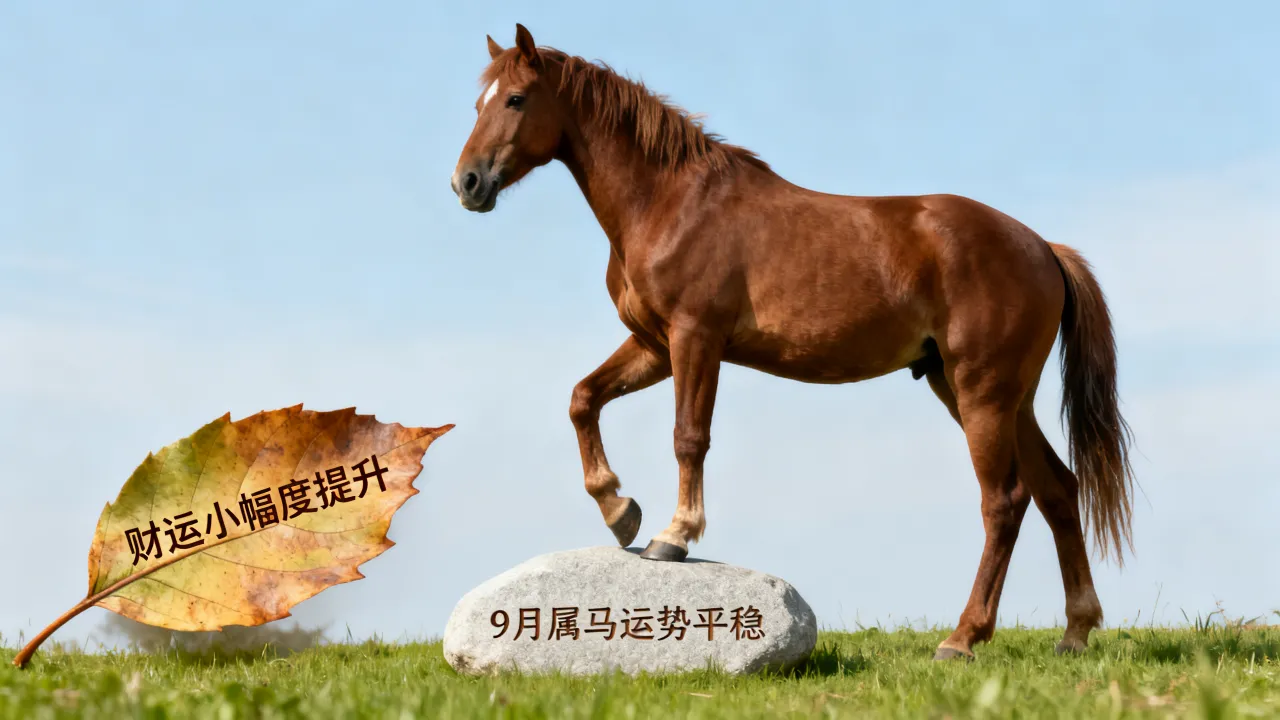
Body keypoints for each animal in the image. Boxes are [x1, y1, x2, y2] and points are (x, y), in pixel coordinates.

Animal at [450, 24, 1135, 661]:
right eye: (476, 101)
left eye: (515, 98)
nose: (467, 183)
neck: (670, 202)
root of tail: (1042, 247)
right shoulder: (652, 345)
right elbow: (582, 399)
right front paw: (621, 512)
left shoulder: (695, 338)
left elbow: (689, 438)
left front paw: (674, 536)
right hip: (992, 394)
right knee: (1058, 489)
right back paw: (1075, 631)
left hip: (982, 393)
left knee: (1005, 502)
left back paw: (962, 637)